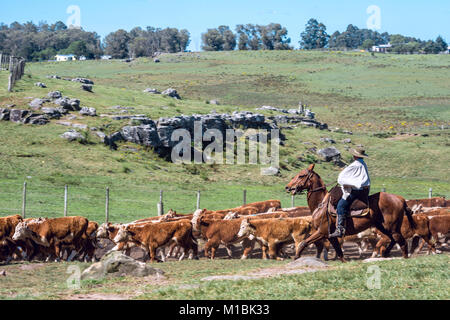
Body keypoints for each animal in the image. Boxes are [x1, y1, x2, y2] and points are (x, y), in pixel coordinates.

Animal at [286, 164, 414, 262]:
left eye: (301, 175)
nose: (288, 187)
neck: (321, 204)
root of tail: (400, 199)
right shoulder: (330, 236)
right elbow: (338, 251)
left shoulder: (321, 232)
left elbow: (304, 242)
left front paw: (296, 256)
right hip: (384, 227)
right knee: (393, 240)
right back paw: (386, 253)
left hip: (392, 228)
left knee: (402, 242)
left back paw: (403, 258)